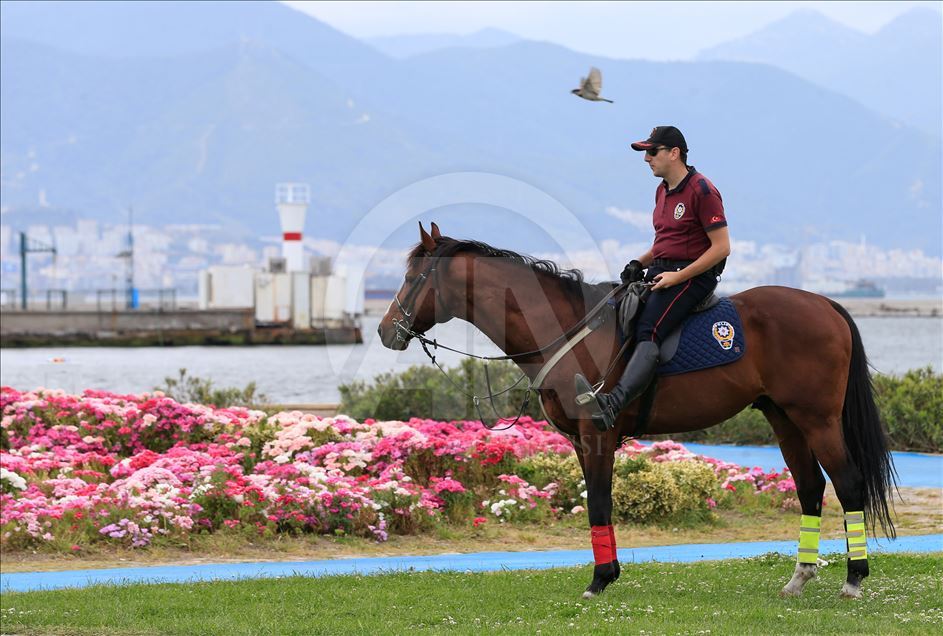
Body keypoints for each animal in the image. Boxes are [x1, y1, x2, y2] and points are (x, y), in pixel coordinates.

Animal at [380, 224, 896, 600]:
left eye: (412, 277)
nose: (386, 330)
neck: (566, 327)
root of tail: (825, 303)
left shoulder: (597, 435)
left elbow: (598, 502)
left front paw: (600, 579)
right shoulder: (580, 440)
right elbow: (599, 503)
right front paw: (606, 573)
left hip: (817, 419)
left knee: (847, 483)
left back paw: (854, 578)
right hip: (784, 418)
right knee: (810, 489)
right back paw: (799, 577)